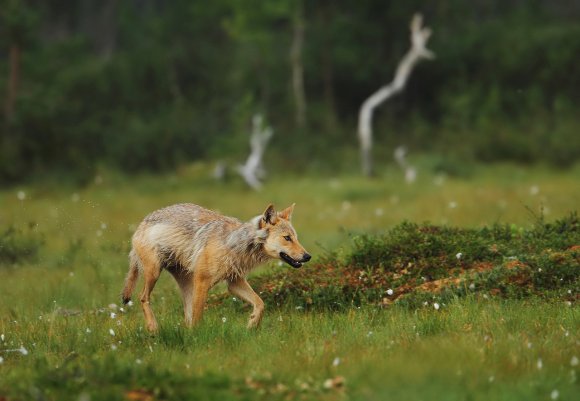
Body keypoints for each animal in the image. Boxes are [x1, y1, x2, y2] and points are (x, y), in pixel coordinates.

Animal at [120, 203, 310, 332]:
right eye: (287, 238)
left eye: (296, 238)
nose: (308, 256)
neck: (235, 244)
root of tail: (142, 223)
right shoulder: (202, 282)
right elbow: (198, 316)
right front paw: (197, 339)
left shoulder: (234, 283)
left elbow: (260, 303)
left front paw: (251, 324)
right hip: (155, 273)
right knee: (142, 297)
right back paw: (153, 328)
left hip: (186, 284)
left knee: (186, 317)